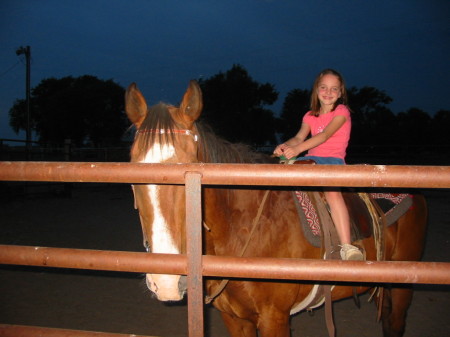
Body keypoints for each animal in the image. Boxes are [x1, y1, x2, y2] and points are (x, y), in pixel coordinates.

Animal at [125, 80, 428, 334]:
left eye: (189, 164)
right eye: (133, 168)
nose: (166, 282)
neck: (245, 228)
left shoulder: (275, 318)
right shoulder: (234, 318)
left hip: (402, 286)